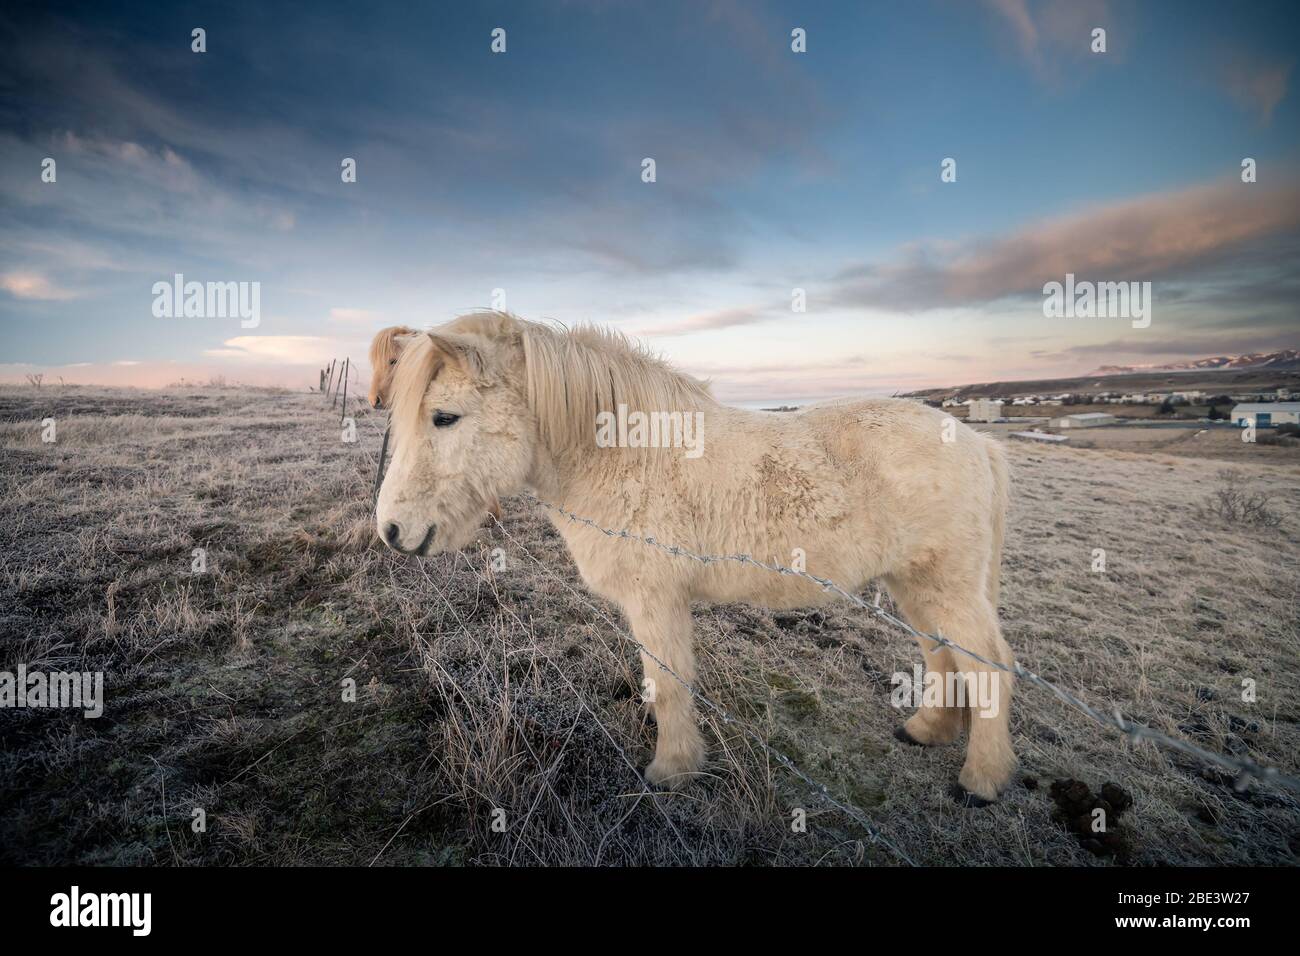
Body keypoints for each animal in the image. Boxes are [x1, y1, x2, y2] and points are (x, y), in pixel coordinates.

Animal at [376, 311, 1016, 804]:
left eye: (444, 417)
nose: (391, 530)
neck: (623, 454)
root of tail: (977, 441)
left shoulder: (657, 600)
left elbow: (669, 683)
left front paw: (671, 770)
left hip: (946, 584)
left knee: (987, 664)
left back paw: (981, 782)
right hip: (915, 584)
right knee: (942, 654)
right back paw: (926, 730)